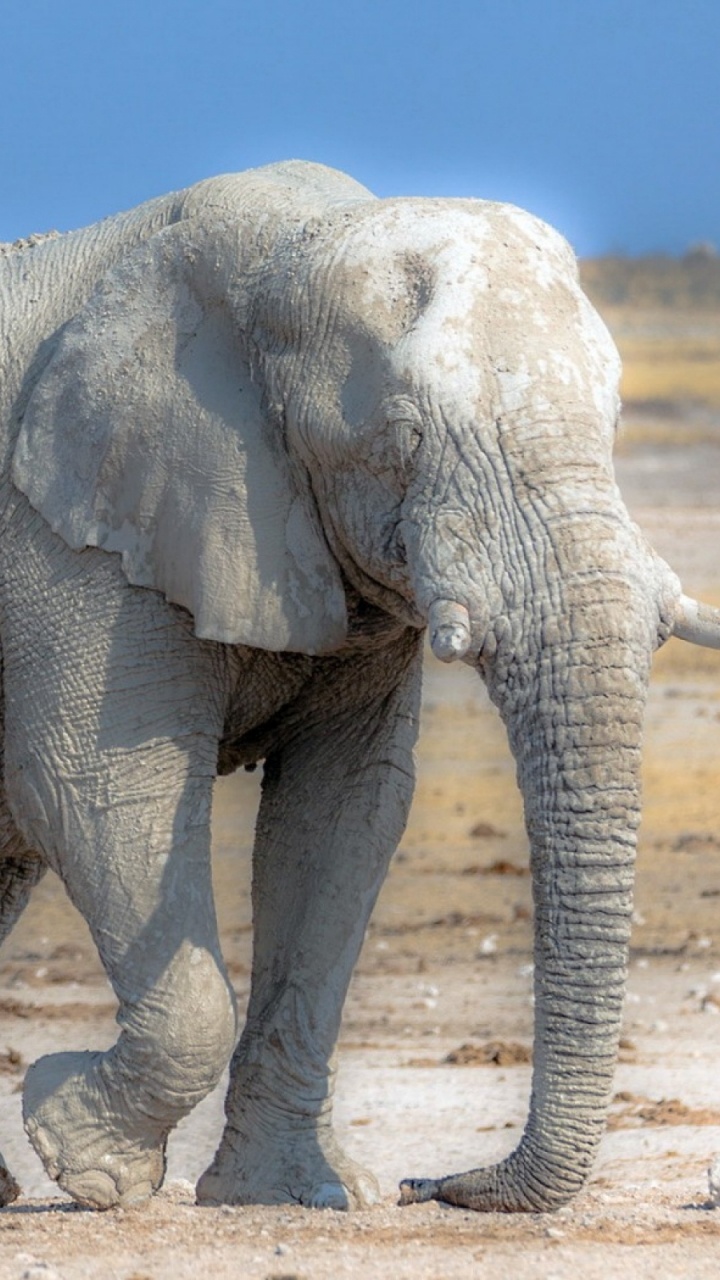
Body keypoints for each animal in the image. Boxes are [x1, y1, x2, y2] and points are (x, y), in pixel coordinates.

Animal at [0, 160, 717, 1215]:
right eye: (403, 437)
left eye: (616, 421)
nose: (440, 1185)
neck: (297, 242)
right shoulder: (71, 538)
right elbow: (97, 788)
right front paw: (86, 1159)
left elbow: (345, 811)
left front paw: (293, 1195)